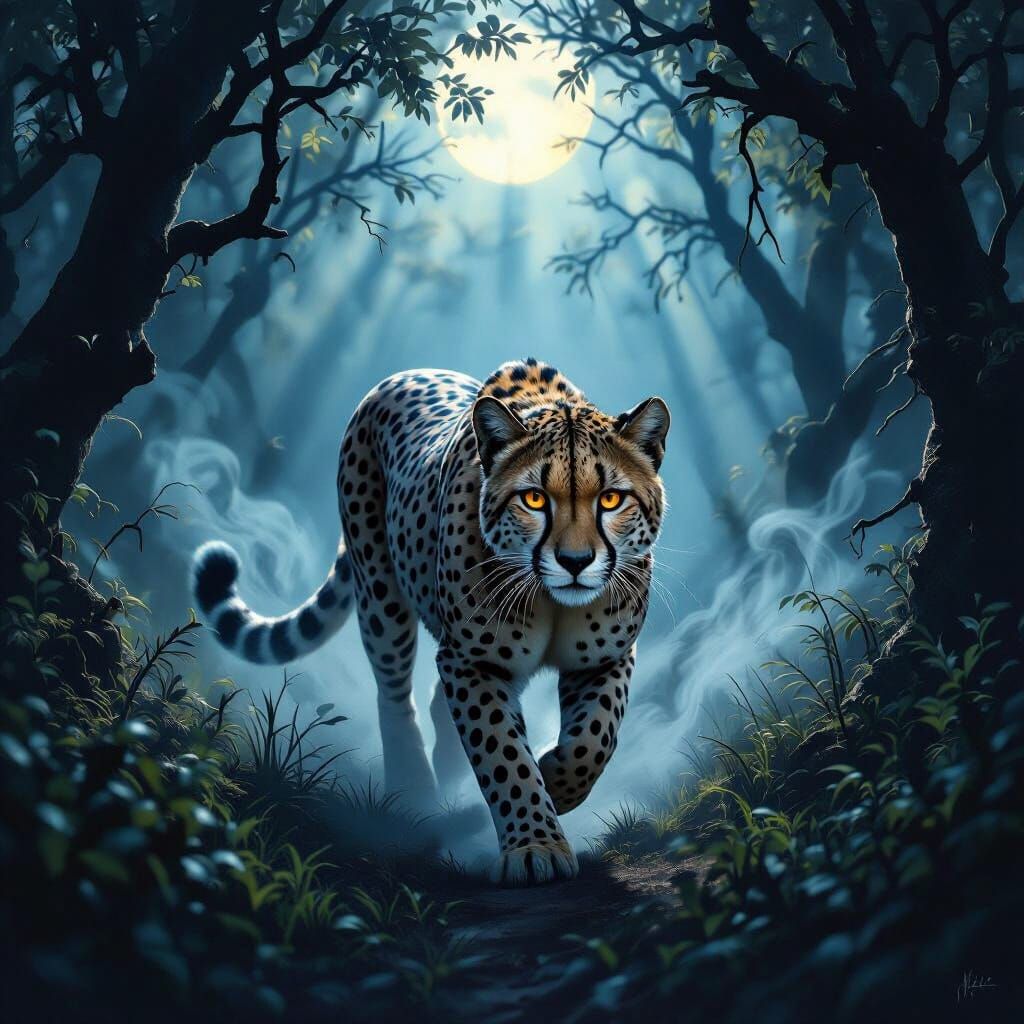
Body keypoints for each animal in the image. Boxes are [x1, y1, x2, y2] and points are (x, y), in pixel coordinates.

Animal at [192, 359, 670, 885]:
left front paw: (557, 780)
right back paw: (412, 790)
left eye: (610, 500)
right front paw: (535, 845)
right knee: (394, 691)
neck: (549, 599)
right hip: (380, 593)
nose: (575, 562)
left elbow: (595, 738)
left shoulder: (604, 658)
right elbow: (503, 754)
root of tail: (403, 374)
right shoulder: (473, 662)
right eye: (534, 500)